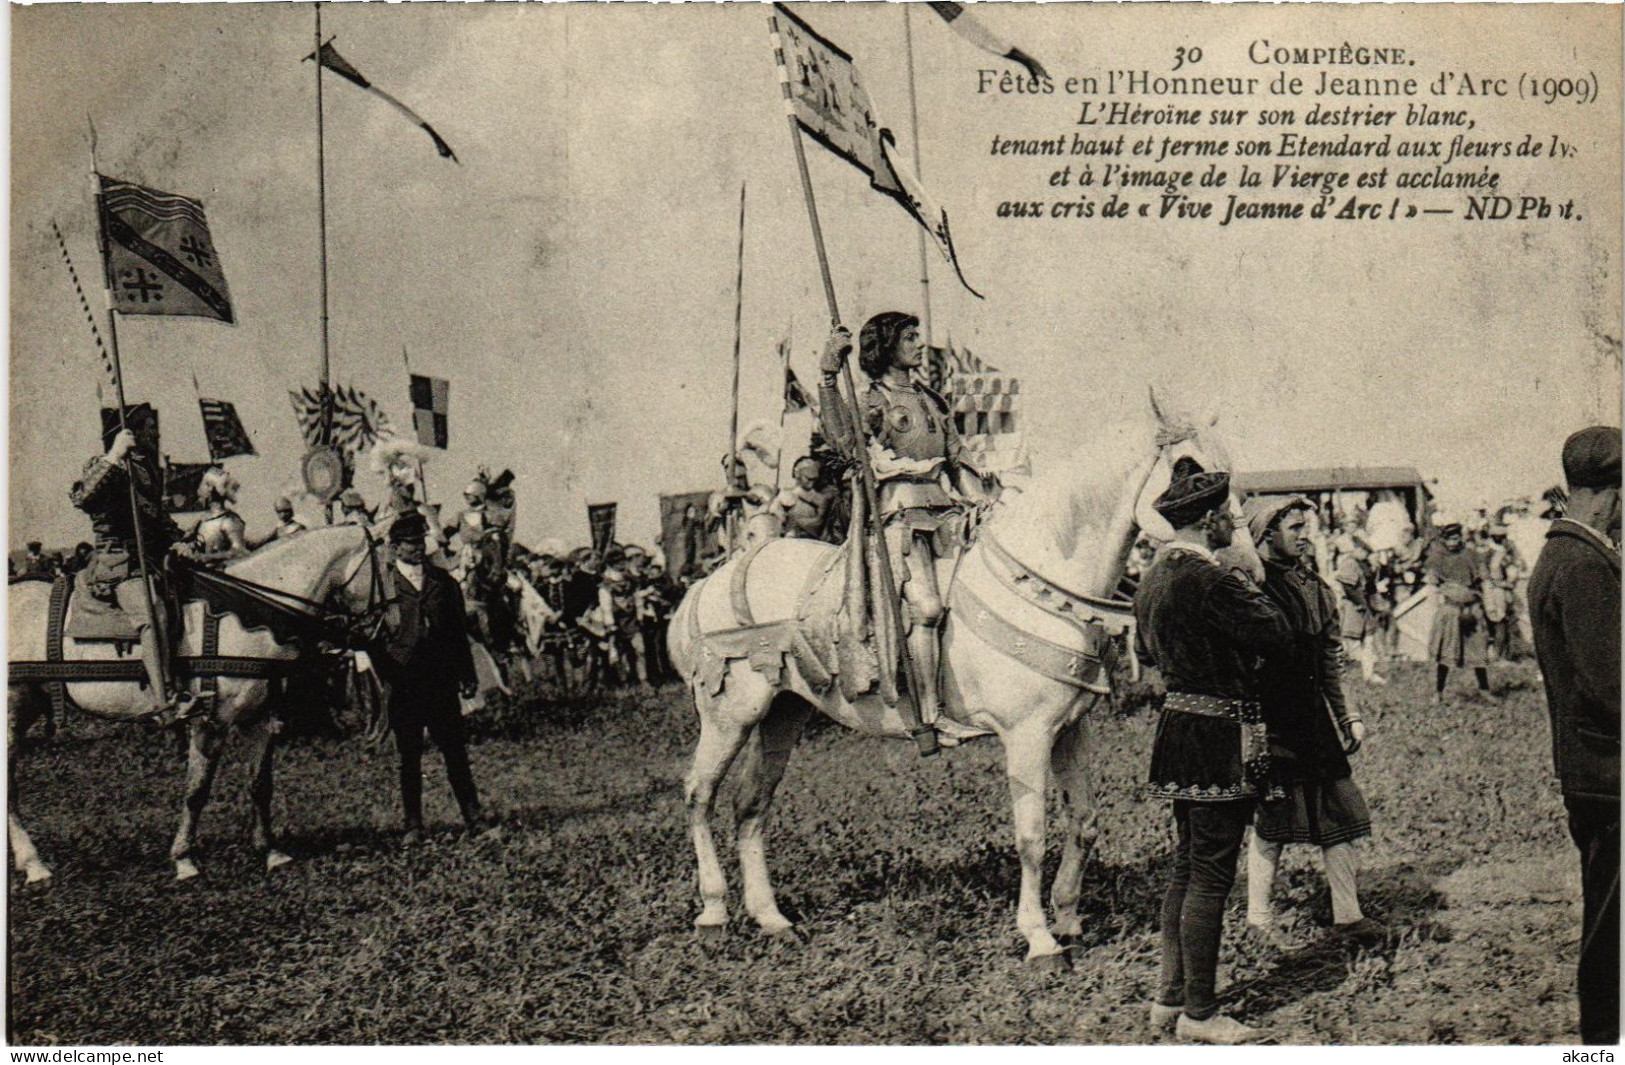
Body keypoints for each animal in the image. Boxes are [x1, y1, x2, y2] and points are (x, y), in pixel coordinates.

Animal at [11, 523, 383, 884]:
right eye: (387, 565)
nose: (384, 626)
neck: (247, 621)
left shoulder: (262, 719)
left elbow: (260, 785)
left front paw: (270, 852)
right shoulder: (210, 722)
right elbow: (197, 790)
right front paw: (184, 859)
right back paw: (34, 865)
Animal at [666, 393, 1248, 969]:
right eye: (1187, 468)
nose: (1243, 561)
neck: (1043, 579)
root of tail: (709, 584)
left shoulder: (1070, 728)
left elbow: (1083, 822)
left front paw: (1069, 921)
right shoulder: (1026, 736)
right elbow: (1032, 836)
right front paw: (1040, 940)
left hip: (782, 714)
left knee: (749, 805)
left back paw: (772, 919)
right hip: (730, 715)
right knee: (699, 794)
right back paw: (714, 914)